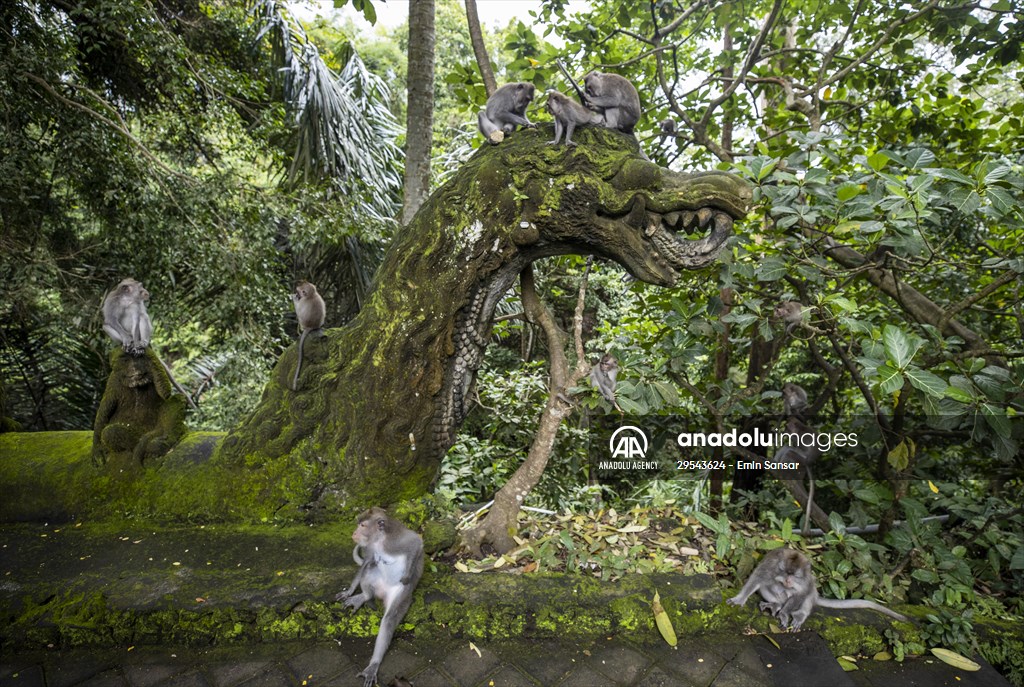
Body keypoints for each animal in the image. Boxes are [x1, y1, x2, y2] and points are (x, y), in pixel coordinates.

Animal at [102, 278, 197, 409]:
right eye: (140, 286)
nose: (145, 290)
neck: (127, 299)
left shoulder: (136, 304)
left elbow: (137, 320)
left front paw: (137, 346)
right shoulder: (111, 300)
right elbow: (111, 320)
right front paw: (126, 338)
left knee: (142, 317)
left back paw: (142, 344)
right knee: (106, 325)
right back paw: (125, 344)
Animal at [336, 507, 424, 687]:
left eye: (362, 525)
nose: (354, 532)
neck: (379, 541)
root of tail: (382, 593)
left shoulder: (396, 542)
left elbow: (416, 543)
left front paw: (408, 575)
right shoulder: (370, 546)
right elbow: (367, 561)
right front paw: (350, 591)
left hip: (400, 595)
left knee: (389, 619)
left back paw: (374, 664)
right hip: (376, 583)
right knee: (369, 568)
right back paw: (365, 596)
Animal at [728, 548, 908, 630]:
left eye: (794, 575)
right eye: (785, 572)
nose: (787, 580)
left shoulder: (805, 580)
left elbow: (802, 592)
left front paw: (786, 613)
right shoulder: (769, 567)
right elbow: (757, 580)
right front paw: (740, 599)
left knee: (807, 595)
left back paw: (796, 613)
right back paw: (776, 604)